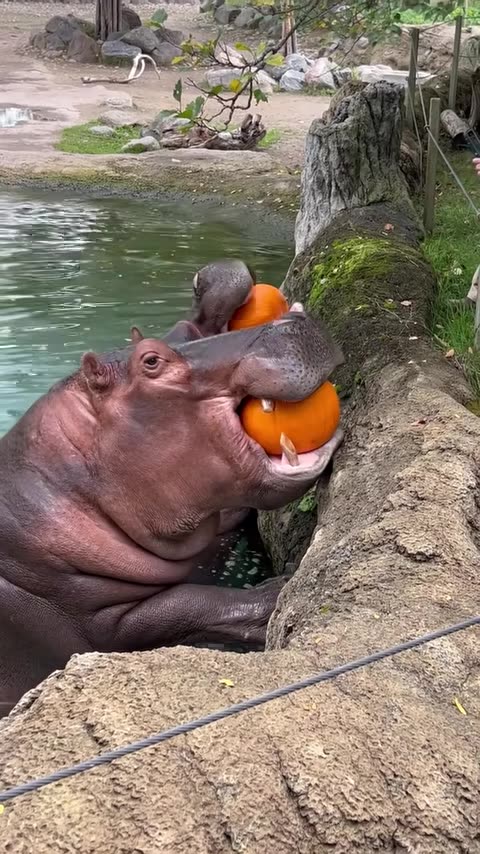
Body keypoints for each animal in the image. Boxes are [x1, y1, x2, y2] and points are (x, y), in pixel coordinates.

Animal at [0, 308, 344, 716]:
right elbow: (191, 603)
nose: (293, 317)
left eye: (183, 330)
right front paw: (280, 589)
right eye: (151, 361)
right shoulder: (101, 622)